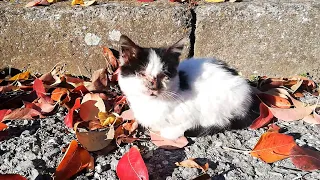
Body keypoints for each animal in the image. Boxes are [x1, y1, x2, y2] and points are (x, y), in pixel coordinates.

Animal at [117, 34, 252, 140]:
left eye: (164, 75)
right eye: (142, 74)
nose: (153, 87)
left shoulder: (192, 115)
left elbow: (176, 129)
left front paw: (167, 131)